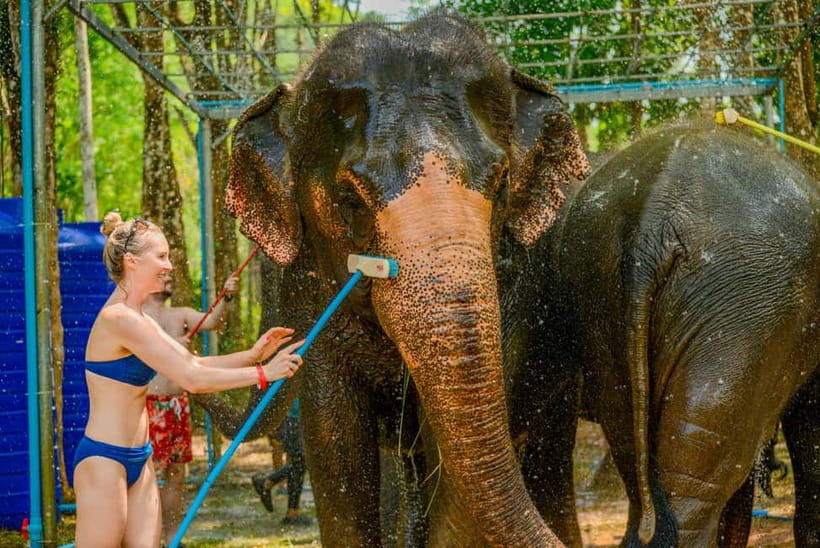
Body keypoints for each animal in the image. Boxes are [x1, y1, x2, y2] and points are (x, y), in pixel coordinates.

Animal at [216, 11, 591, 547]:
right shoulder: (315, 302)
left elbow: (455, 479)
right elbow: (338, 454)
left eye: (501, 184)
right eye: (351, 200)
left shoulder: (516, 296)